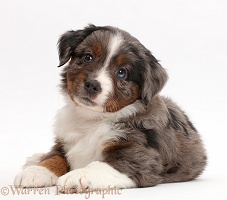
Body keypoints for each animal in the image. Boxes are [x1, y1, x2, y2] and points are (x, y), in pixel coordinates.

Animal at [13, 24, 207, 191]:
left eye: (122, 72)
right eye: (88, 57)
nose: (92, 85)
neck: (92, 119)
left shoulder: (140, 157)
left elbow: (102, 164)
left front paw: (79, 175)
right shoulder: (64, 141)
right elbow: (55, 156)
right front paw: (37, 170)